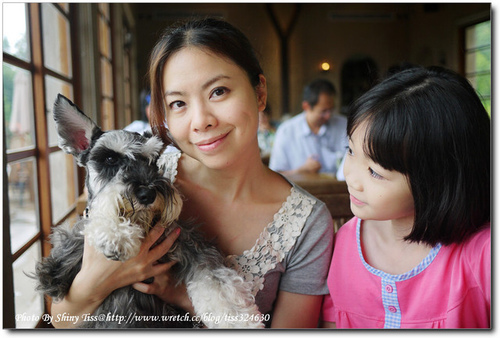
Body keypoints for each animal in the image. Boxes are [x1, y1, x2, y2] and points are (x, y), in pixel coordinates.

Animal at [33, 93, 264, 328]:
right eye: (110, 158)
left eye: (153, 160)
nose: (147, 194)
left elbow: (216, 282)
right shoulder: (59, 269)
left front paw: (238, 320)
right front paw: (116, 235)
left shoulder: (190, 245)